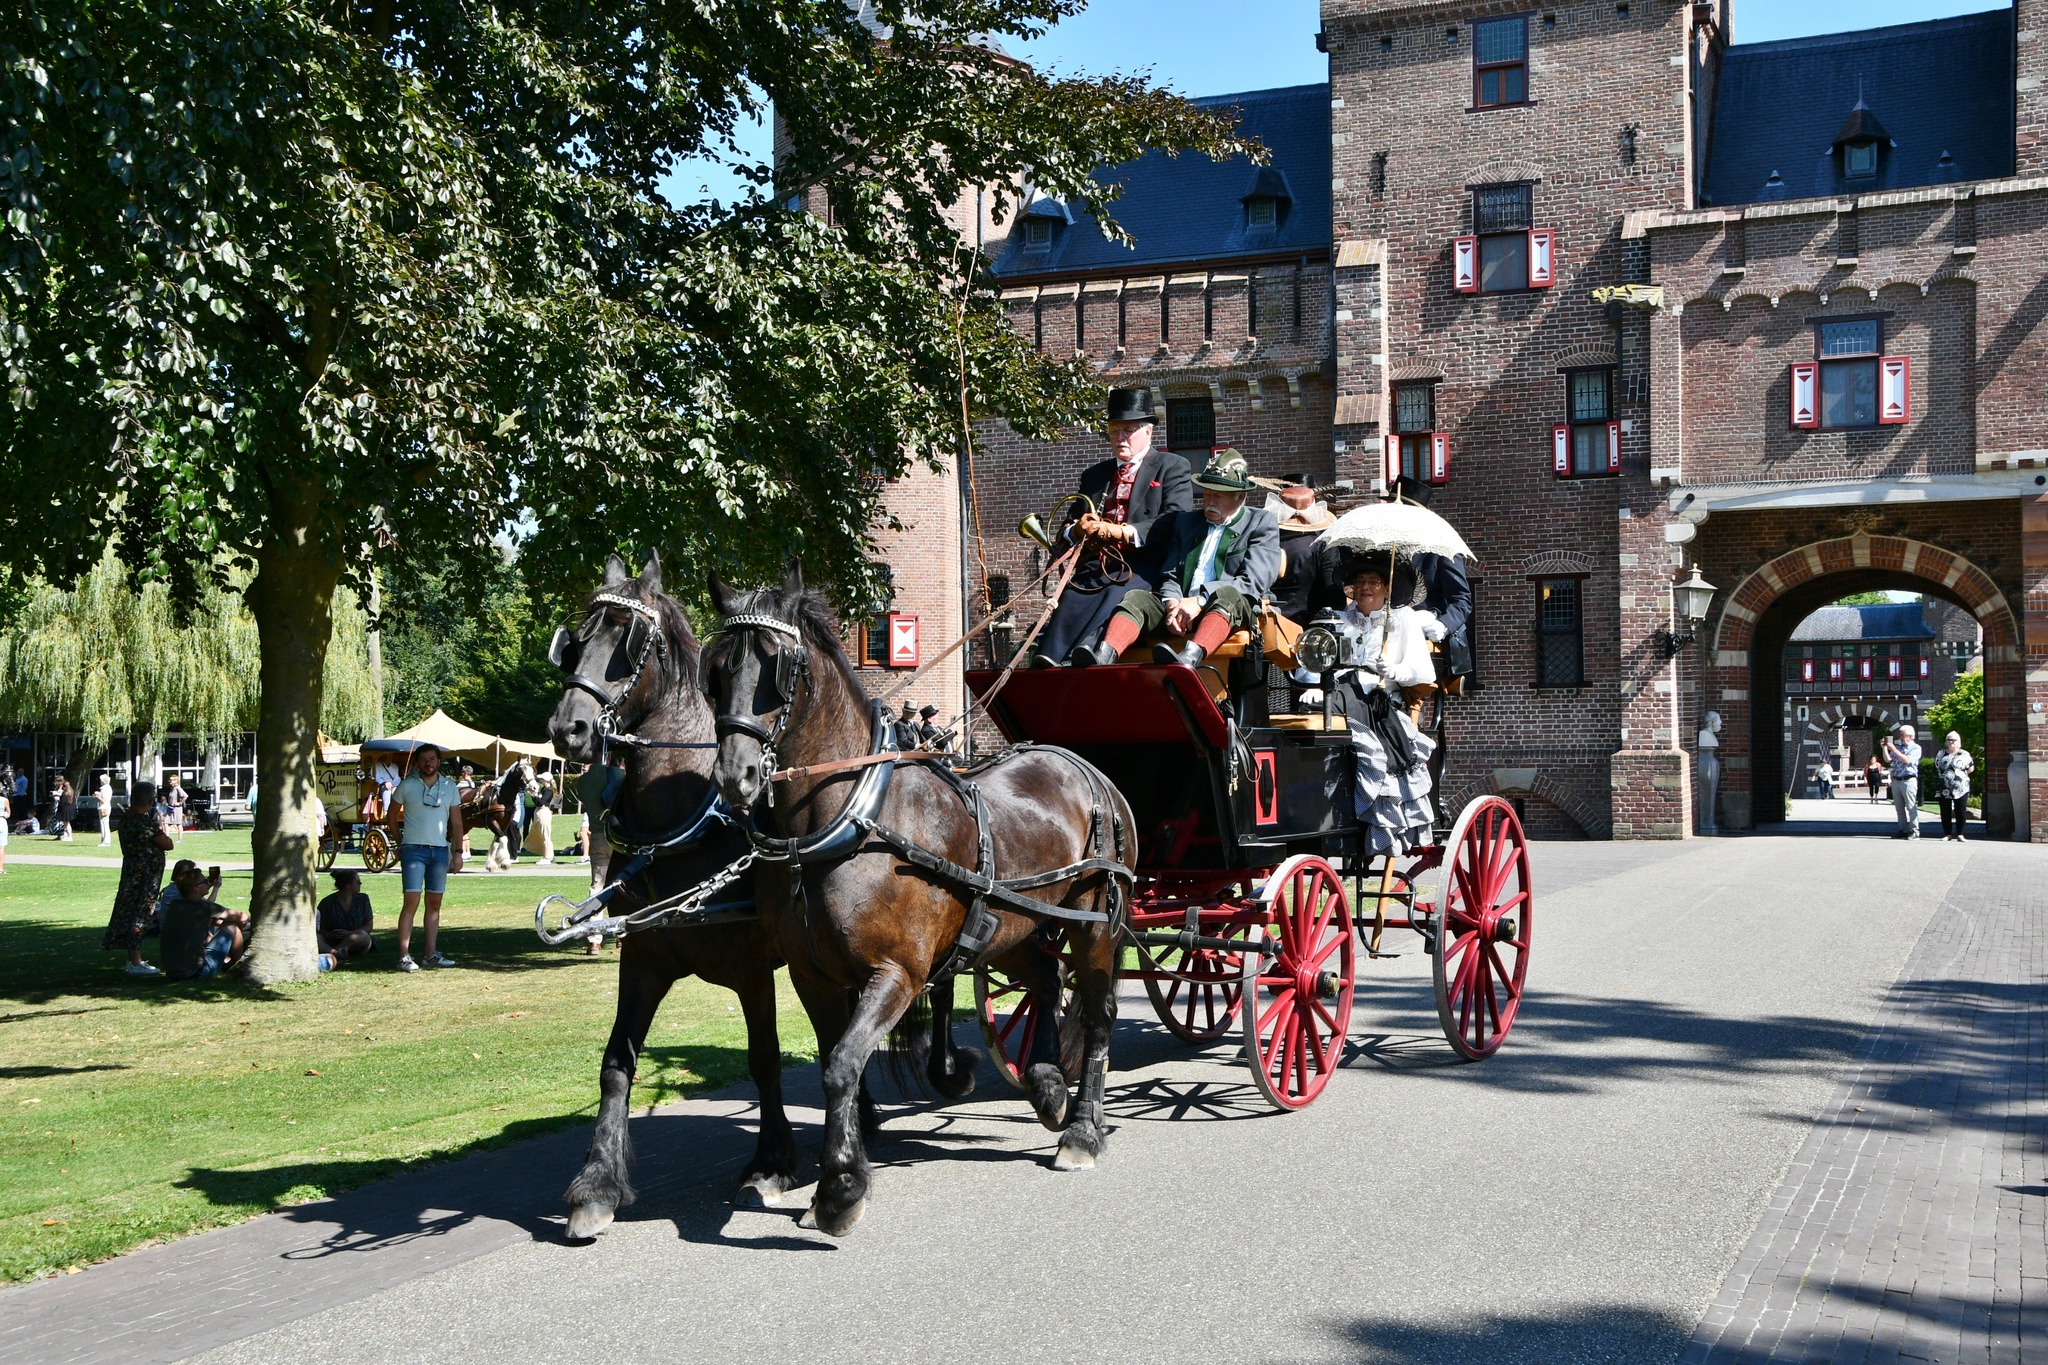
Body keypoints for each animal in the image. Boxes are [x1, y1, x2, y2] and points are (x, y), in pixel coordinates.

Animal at [548, 552, 802, 1236]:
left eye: (627, 644)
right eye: (575, 641)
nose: (567, 729)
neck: (688, 822)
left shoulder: (752, 968)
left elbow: (765, 1058)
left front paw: (772, 1164)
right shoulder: (643, 958)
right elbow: (617, 1062)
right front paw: (597, 1184)